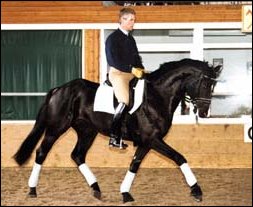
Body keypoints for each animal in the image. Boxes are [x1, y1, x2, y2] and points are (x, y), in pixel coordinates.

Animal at [13, 57, 221, 202]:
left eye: (213, 85)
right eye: (204, 83)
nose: (204, 112)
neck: (157, 97)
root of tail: (59, 89)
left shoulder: (147, 142)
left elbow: (135, 164)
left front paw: (125, 193)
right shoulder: (152, 139)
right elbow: (179, 157)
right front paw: (196, 190)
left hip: (87, 131)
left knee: (77, 155)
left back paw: (96, 188)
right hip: (56, 128)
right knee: (41, 152)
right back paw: (32, 190)